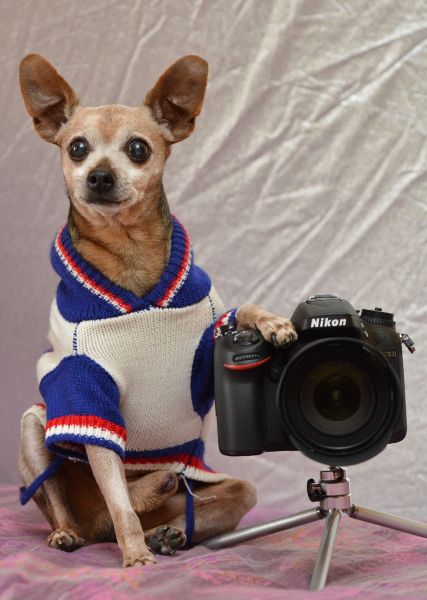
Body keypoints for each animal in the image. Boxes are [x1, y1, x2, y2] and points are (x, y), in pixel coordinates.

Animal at [17, 55, 298, 568]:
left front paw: (271, 322)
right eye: (78, 148)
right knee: (86, 511)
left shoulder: (204, 358)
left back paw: (168, 529)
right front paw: (135, 558)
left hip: (232, 486)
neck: (130, 256)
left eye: (138, 149)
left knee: (200, 506)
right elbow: (118, 500)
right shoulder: (89, 398)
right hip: (34, 425)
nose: (99, 176)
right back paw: (84, 529)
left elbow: (238, 313)